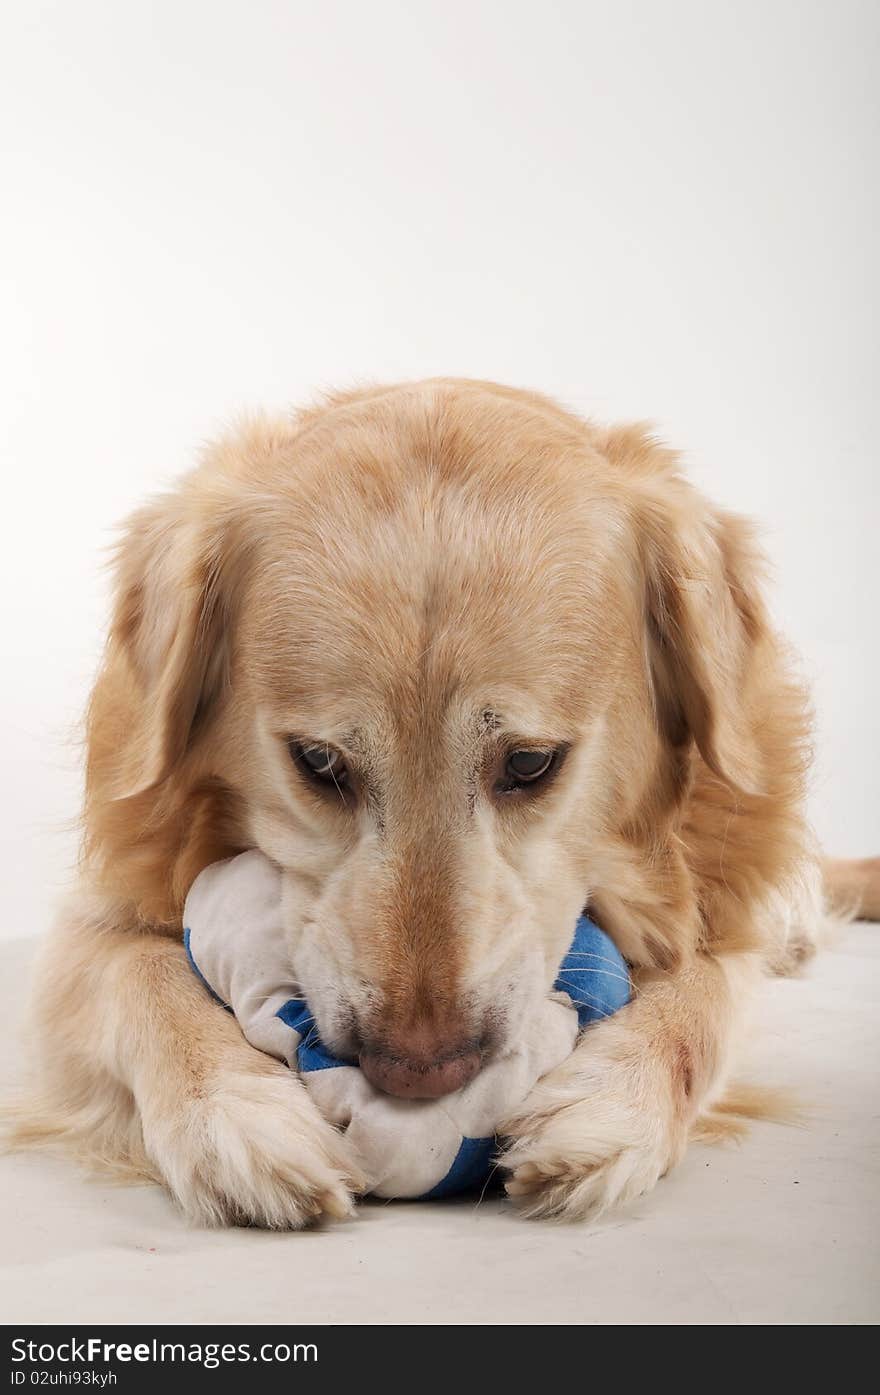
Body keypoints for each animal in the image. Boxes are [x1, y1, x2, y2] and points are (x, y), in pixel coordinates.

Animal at [8, 379, 880, 1222]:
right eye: (317, 761)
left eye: (530, 762)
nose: (419, 1070)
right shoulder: (96, 920)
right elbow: (144, 980)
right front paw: (233, 1113)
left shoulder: (720, 910)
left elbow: (702, 994)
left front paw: (609, 1106)